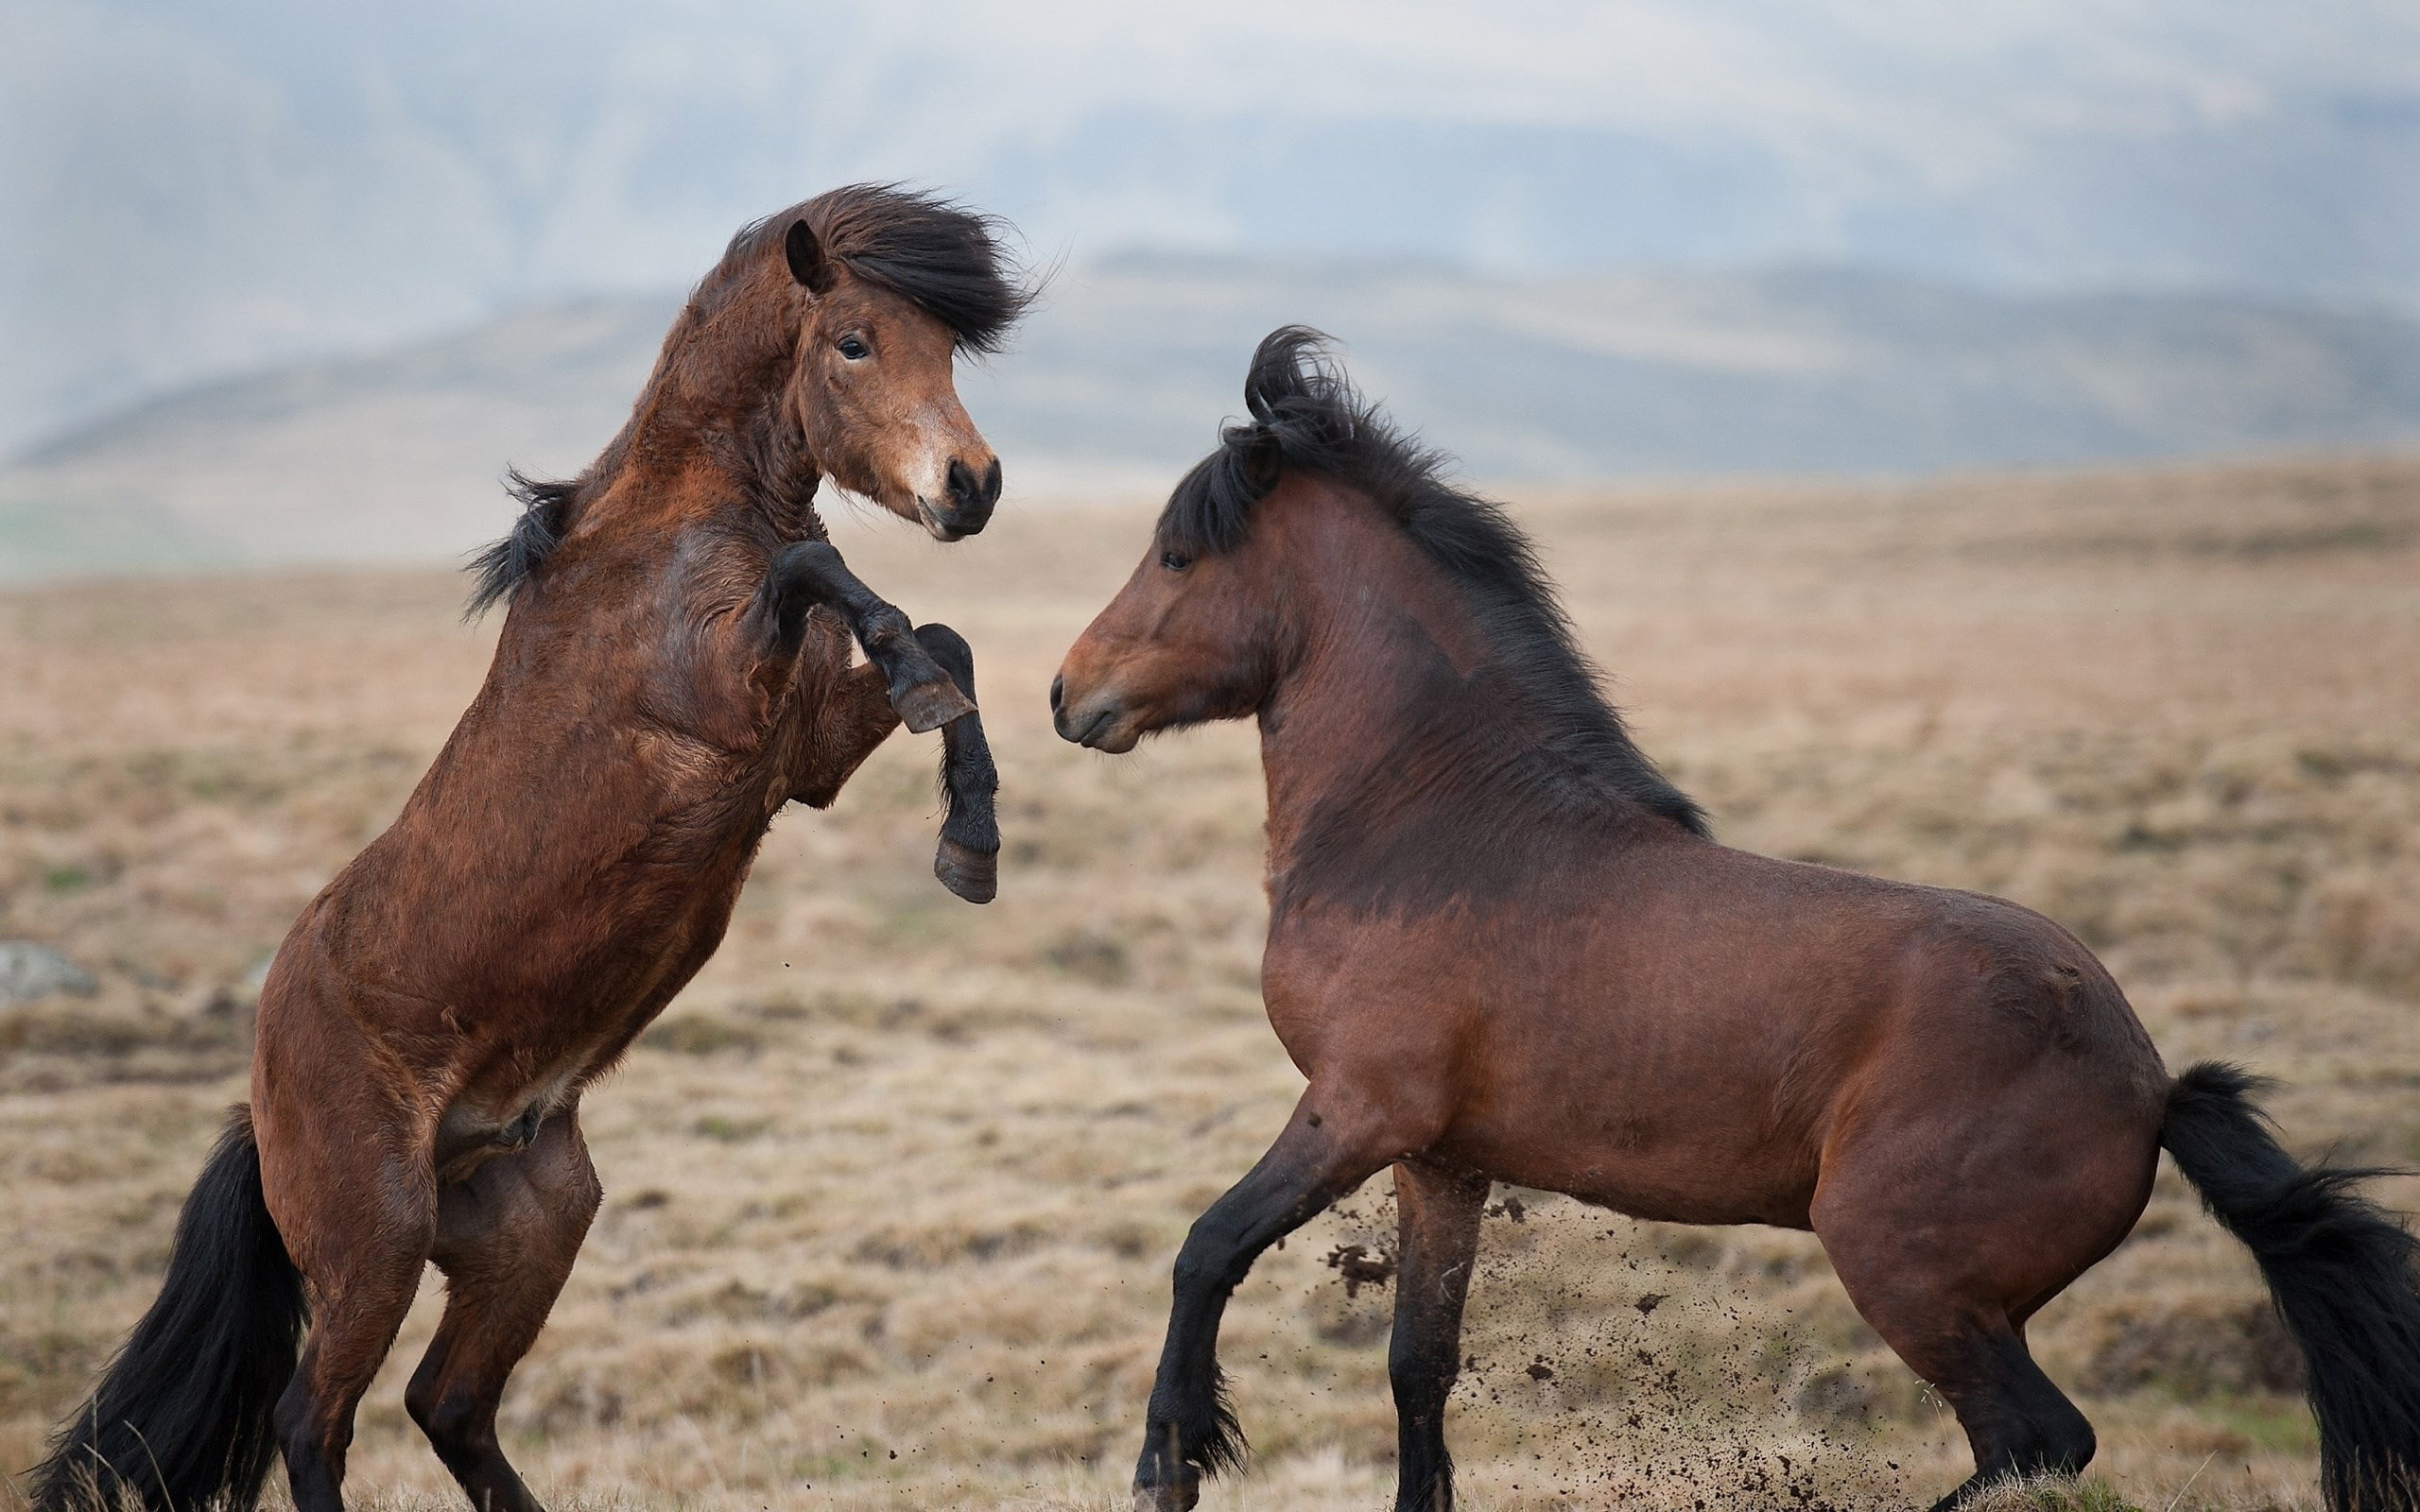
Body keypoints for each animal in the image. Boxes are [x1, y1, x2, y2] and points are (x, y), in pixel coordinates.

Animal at [27, 184, 1033, 1512]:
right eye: (855, 342)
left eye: (947, 349)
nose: (972, 485)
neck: (673, 530)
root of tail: (261, 1091)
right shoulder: (728, 705)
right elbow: (825, 572)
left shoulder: (802, 753)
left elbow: (942, 644)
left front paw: (970, 841)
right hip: (377, 1239)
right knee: (314, 1418)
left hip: (532, 1224)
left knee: (448, 1403)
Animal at [1051, 327, 2420, 1512]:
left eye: (1177, 554)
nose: (1070, 694)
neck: (1436, 816)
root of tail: (2146, 1080)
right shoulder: (1442, 1159)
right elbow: (1418, 1367)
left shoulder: (1355, 1108)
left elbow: (1206, 1247)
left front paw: (1169, 1460)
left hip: (1904, 1270)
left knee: (2035, 1443)